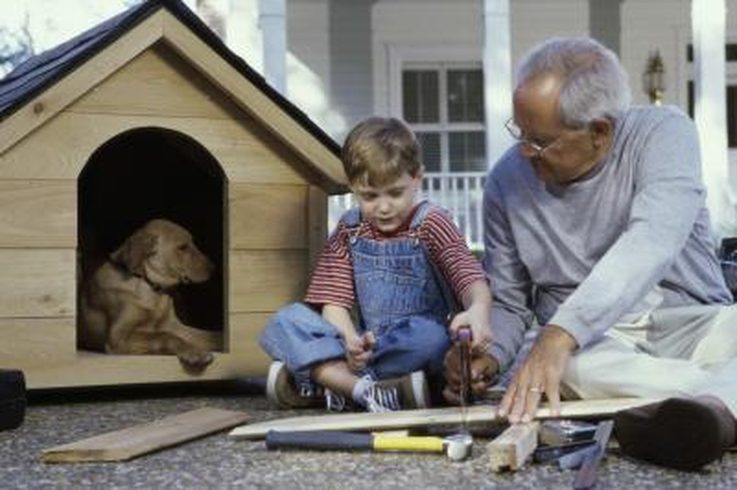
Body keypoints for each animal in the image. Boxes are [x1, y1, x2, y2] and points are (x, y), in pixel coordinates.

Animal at [80, 220, 220, 370]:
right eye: (183, 247)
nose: (213, 268)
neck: (151, 287)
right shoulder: (118, 337)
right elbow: (164, 335)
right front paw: (195, 353)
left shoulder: (174, 326)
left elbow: (208, 336)